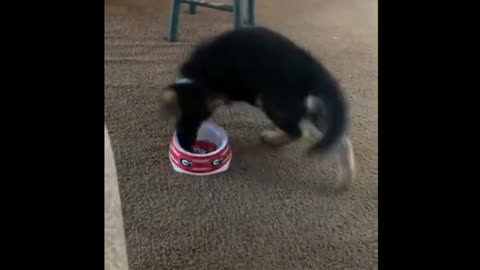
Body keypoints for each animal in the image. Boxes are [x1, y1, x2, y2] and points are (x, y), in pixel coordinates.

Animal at [159, 25, 354, 190]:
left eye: (194, 124)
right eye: (183, 124)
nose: (188, 147)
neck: (198, 80)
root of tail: (314, 69)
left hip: (273, 101)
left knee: (301, 132)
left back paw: (275, 139)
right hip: (309, 107)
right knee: (338, 139)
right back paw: (346, 177)